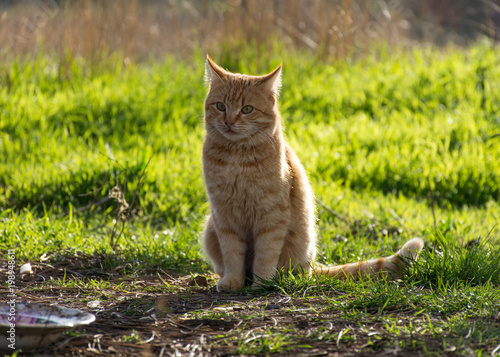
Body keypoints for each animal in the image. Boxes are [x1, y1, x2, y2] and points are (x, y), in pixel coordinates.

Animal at [200, 57, 422, 292]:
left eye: (247, 109)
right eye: (221, 106)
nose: (229, 122)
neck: (237, 158)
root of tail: (314, 264)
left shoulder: (271, 217)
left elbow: (265, 254)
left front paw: (262, 283)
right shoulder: (225, 217)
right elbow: (232, 254)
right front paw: (233, 282)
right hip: (210, 230)